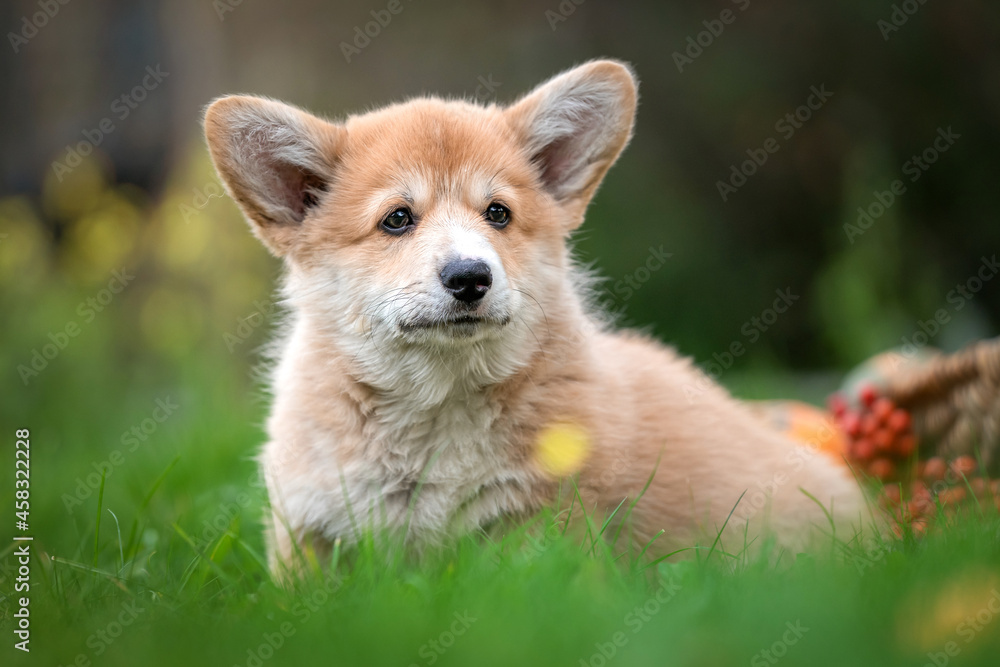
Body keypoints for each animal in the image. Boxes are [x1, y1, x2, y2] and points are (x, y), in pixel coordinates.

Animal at [203, 60, 868, 576]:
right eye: (396, 219)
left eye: (498, 213)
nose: (471, 277)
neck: (437, 405)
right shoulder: (306, 532)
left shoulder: (541, 527)